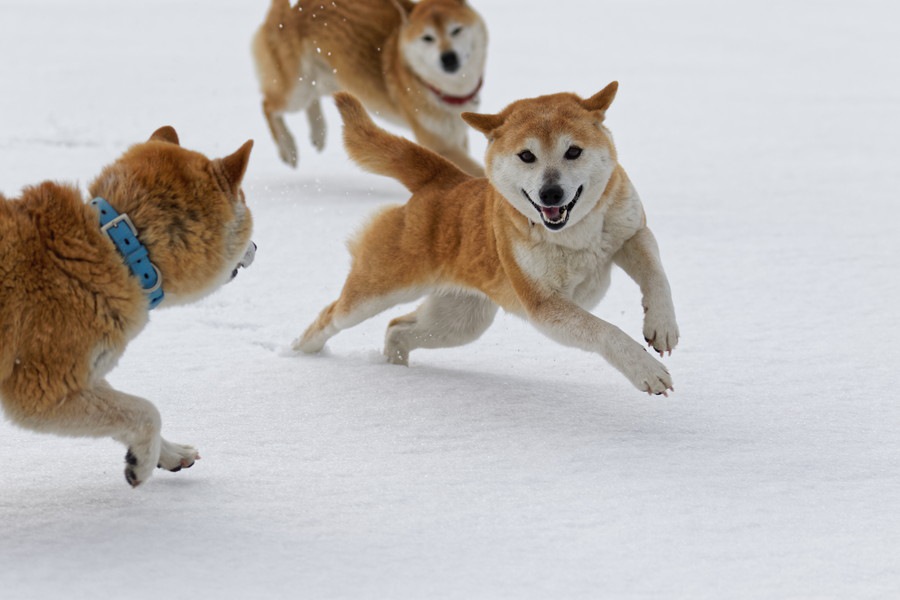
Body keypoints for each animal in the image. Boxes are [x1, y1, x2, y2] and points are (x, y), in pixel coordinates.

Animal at [2, 127, 256, 488]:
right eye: (245, 202)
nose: (256, 247)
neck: (116, 245)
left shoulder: (83, 373)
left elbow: (127, 408)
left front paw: (168, 453)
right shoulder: (39, 389)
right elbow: (147, 411)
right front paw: (144, 464)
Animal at [250, 0, 488, 176]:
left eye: (456, 30)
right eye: (427, 38)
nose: (448, 58)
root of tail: (291, 9)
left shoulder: (457, 135)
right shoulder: (438, 144)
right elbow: (477, 171)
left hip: (335, 78)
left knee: (312, 99)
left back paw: (318, 132)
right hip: (297, 90)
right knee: (268, 105)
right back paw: (288, 148)